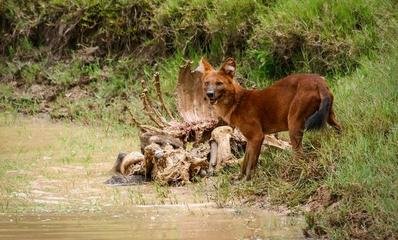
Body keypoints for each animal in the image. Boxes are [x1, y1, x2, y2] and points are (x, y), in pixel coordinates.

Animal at [197, 57, 340, 179]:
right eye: (206, 83)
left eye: (219, 83)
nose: (210, 94)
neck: (237, 103)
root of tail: (319, 81)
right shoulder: (250, 138)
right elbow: (245, 161)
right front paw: (239, 178)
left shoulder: (257, 136)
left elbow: (251, 164)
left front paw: (248, 180)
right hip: (330, 117)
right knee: (339, 129)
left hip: (294, 123)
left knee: (300, 155)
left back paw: (292, 172)